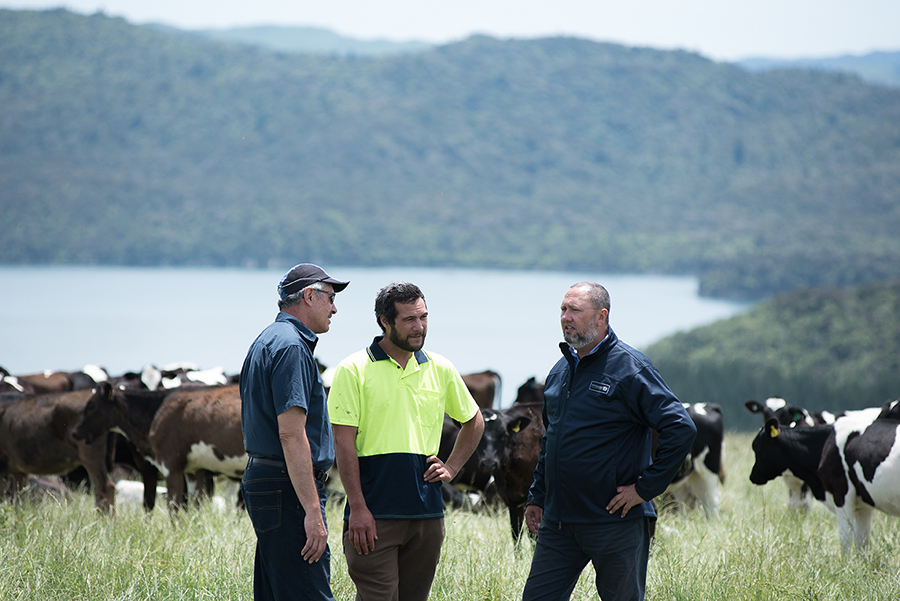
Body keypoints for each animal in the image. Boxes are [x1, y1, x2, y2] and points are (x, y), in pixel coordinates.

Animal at [72, 382, 246, 508]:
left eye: (91, 406)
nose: (75, 431)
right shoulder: (193, 469)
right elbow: (195, 503)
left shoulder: (170, 465)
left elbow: (172, 504)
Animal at [474, 400, 544, 540]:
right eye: (479, 435)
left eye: (504, 435)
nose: (489, 463)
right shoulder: (511, 500)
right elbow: (516, 532)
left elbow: (532, 534)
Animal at [744, 406, 900, 556]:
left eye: (756, 447)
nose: (753, 476)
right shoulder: (864, 505)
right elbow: (862, 543)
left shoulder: (841, 496)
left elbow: (845, 540)